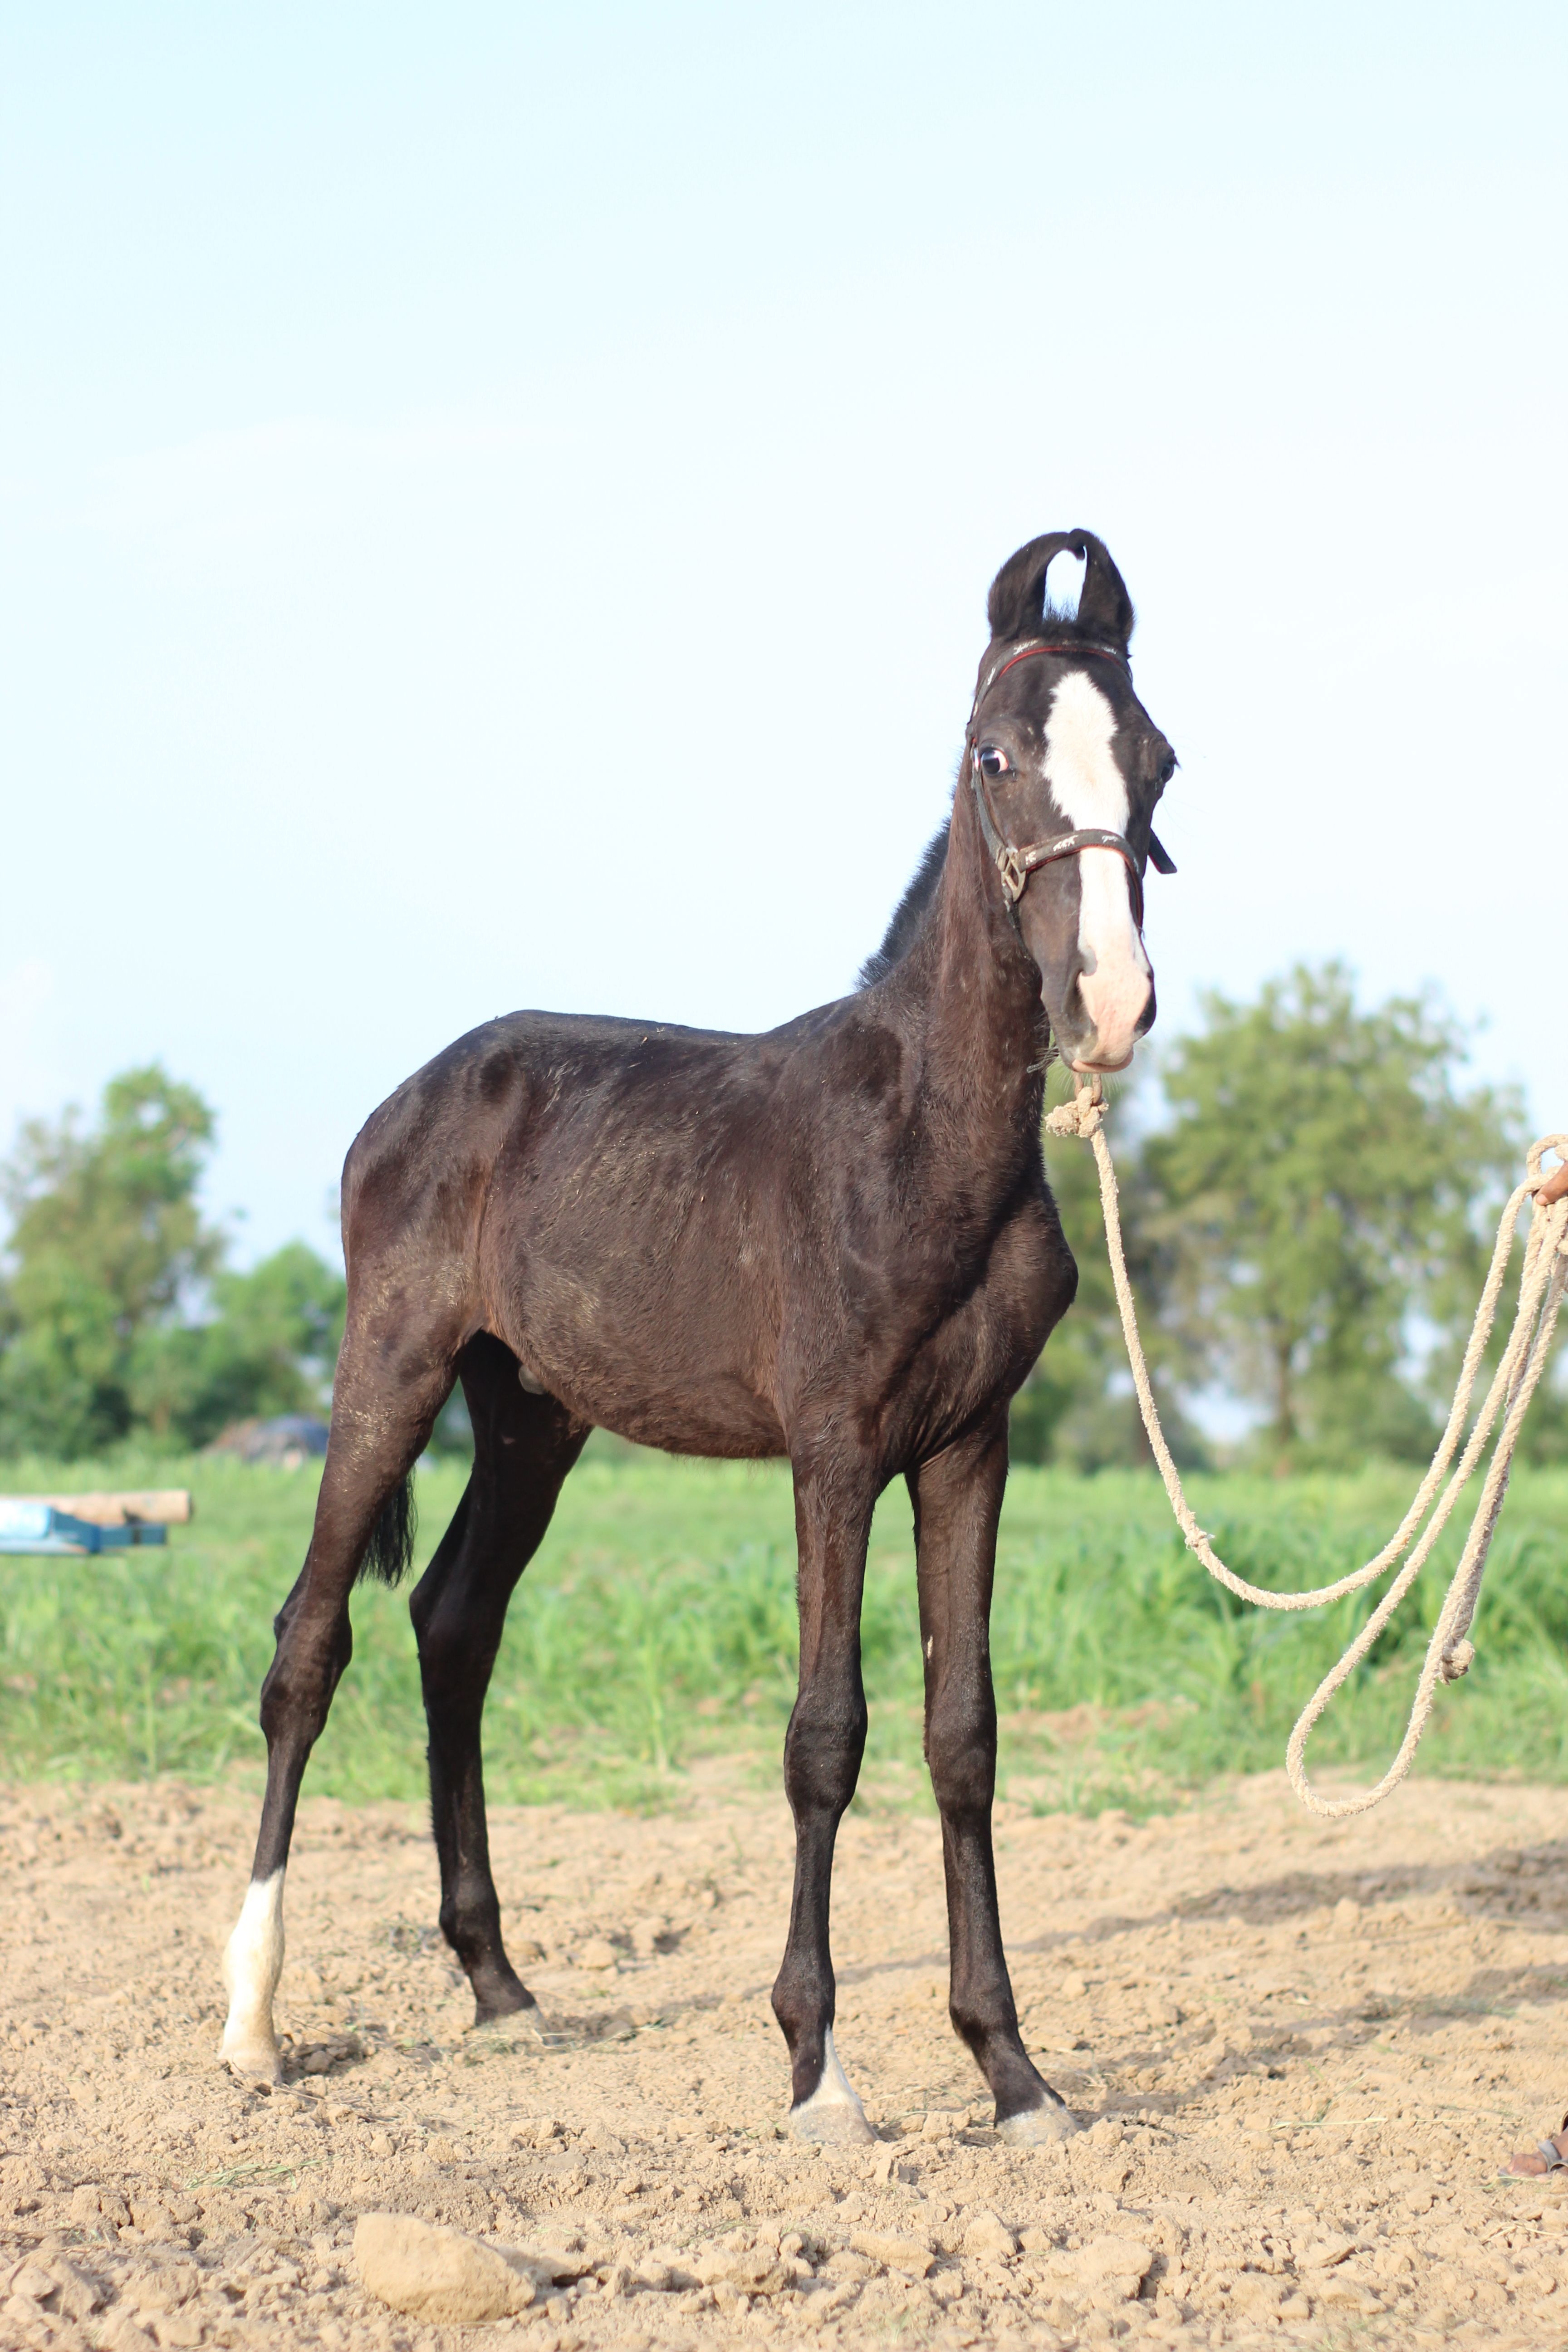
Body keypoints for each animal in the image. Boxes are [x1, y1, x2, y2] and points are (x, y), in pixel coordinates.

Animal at [219, 528, 1178, 2147]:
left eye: (1159, 763)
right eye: (994, 756)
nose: (1107, 1006)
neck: (928, 1143)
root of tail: (411, 1099)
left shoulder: (970, 1447)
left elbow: (964, 1736)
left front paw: (1013, 2072)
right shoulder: (835, 1448)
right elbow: (825, 1736)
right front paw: (819, 2075)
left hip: (532, 1414)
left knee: (454, 1623)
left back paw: (500, 1985)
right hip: (391, 1367)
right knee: (311, 1641)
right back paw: (252, 2025)